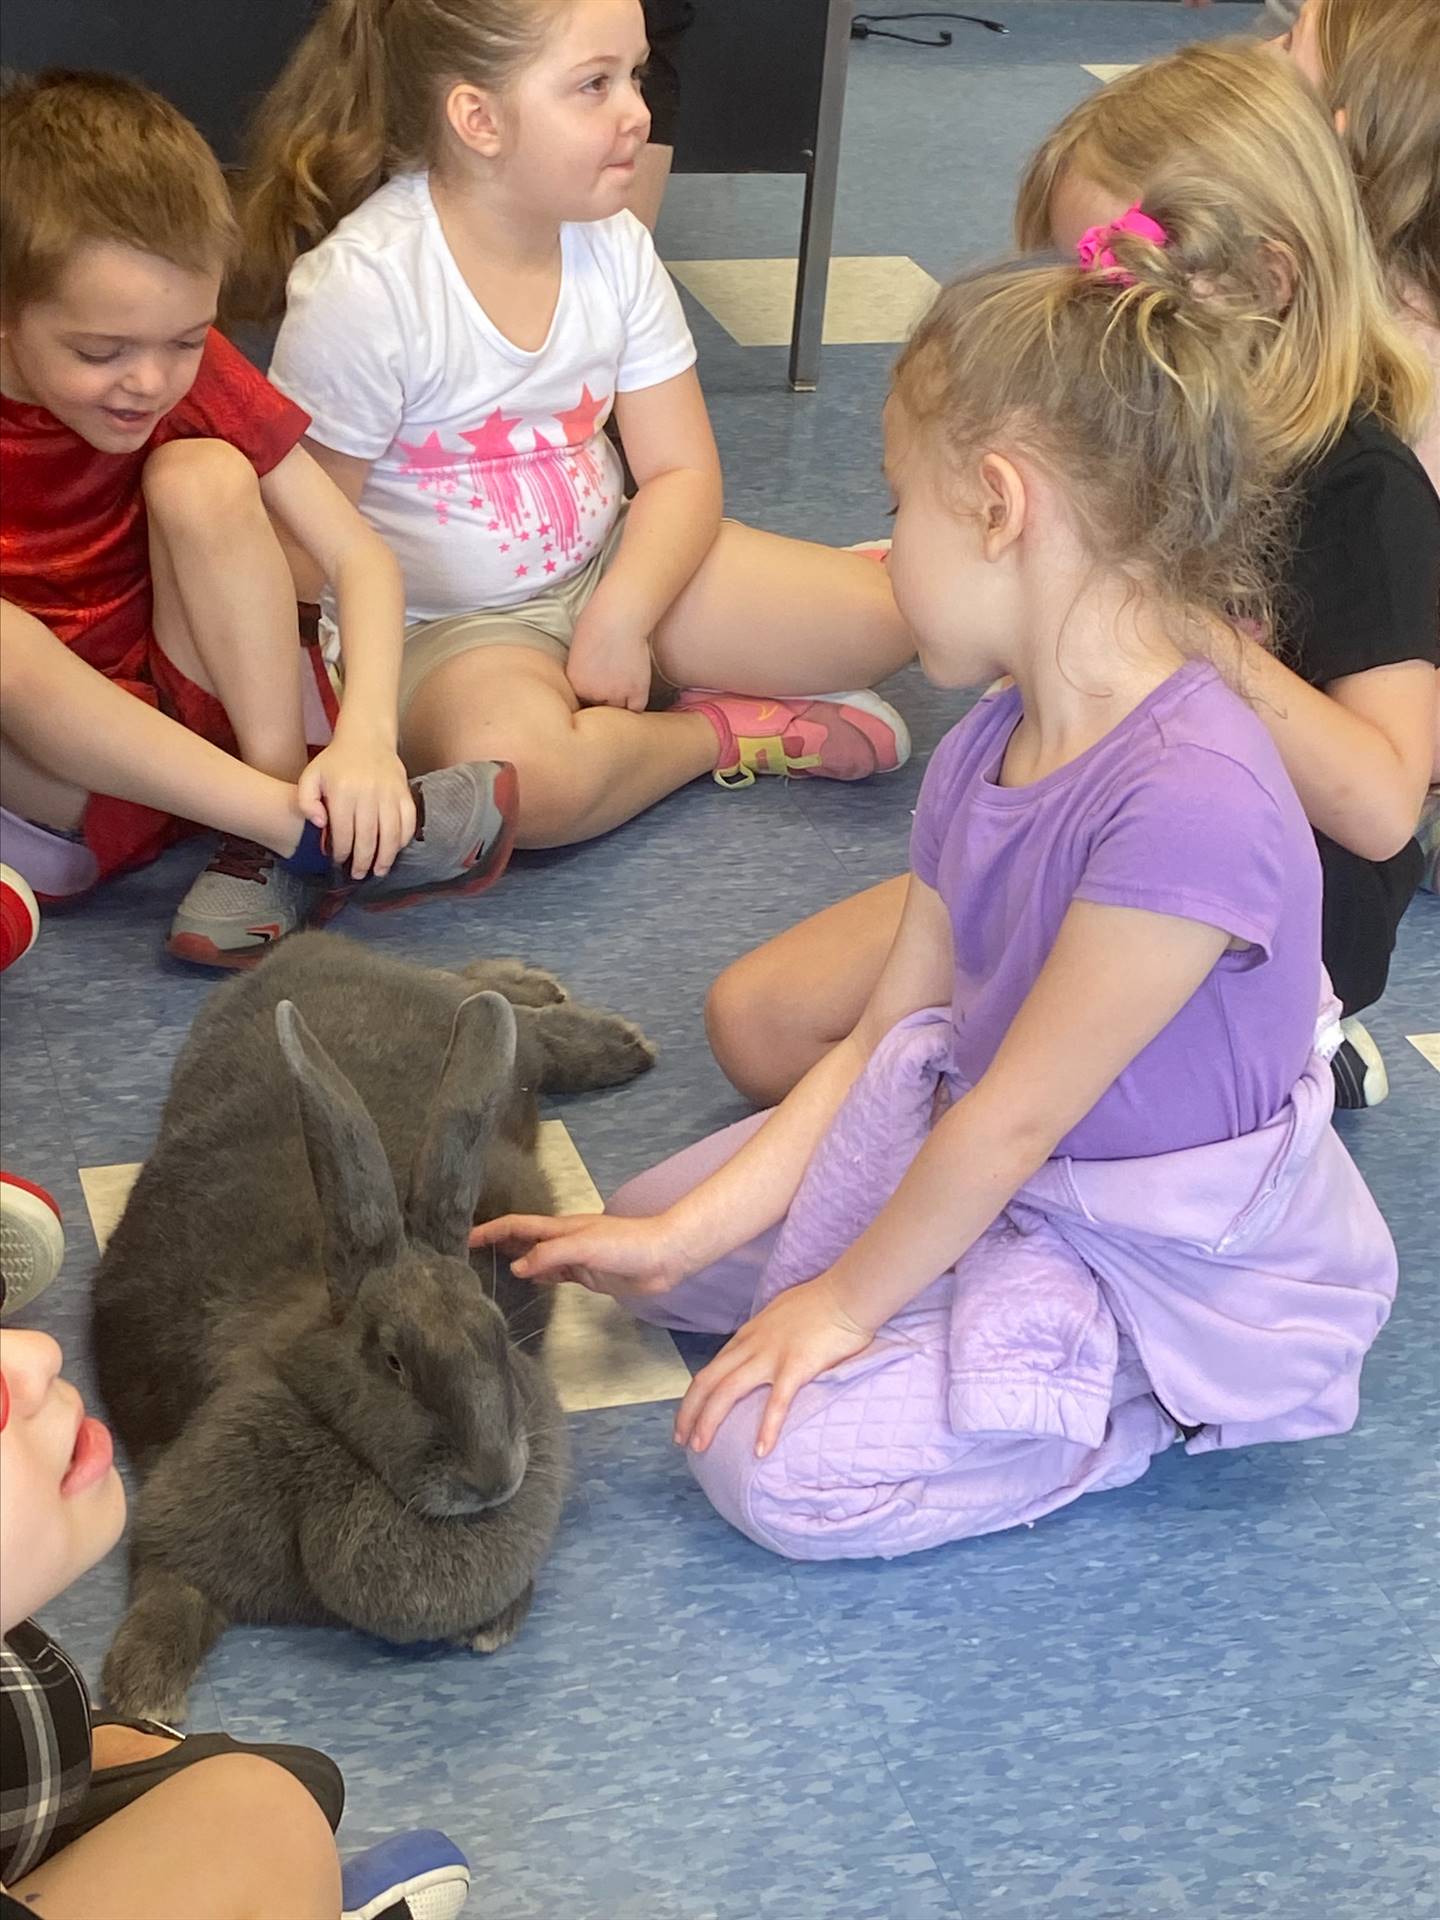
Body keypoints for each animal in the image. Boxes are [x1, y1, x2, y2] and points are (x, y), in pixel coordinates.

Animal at [98, 933, 664, 1728]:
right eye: (392, 1361)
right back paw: (574, 1011)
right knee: (493, 1009)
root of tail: (311, 945)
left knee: (511, 1024)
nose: (493, 1480)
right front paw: (141, 1696)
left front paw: (494, 1622)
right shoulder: (178, 1522)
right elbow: (167, 1592)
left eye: (497, 1333)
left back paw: (601, 1031)